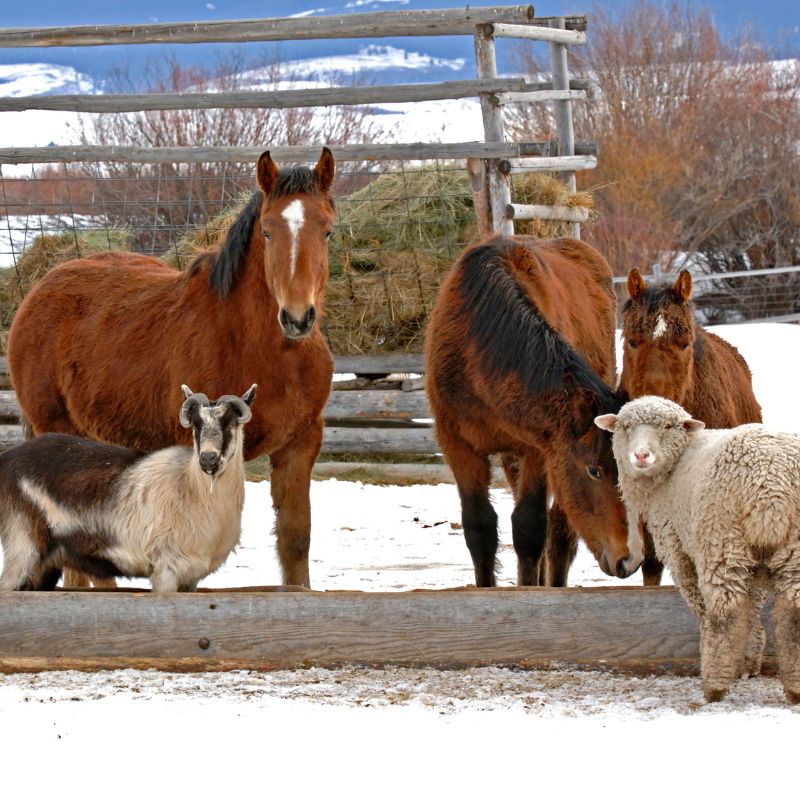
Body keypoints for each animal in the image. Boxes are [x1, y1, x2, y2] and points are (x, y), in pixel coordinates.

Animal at [0, 384, 256, 592]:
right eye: (196, 425)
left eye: (229, 424)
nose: (208, 459)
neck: (191, 487)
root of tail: (8, 459)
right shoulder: (165, 570)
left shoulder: (190, 578)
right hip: (22, 546)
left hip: (45, 564)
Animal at [422, 236, 640, 588]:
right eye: (594, 470)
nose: (629, 560)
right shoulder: (457, 444)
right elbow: (479, 528)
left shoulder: (541, 448)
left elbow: (529, 529)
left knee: (560, 533)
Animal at [592, 396, 800, 704]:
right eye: (626, 427)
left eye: (667, 426)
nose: (641, 456)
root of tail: (770, 487)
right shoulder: (754, 564)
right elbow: (753, 609)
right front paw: (748, 662)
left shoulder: (678, 550)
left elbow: (705, 608)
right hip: (791, 548)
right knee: (792, 616)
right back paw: (795, 687)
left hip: (721, 541)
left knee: (725, 614)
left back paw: (714, 684)